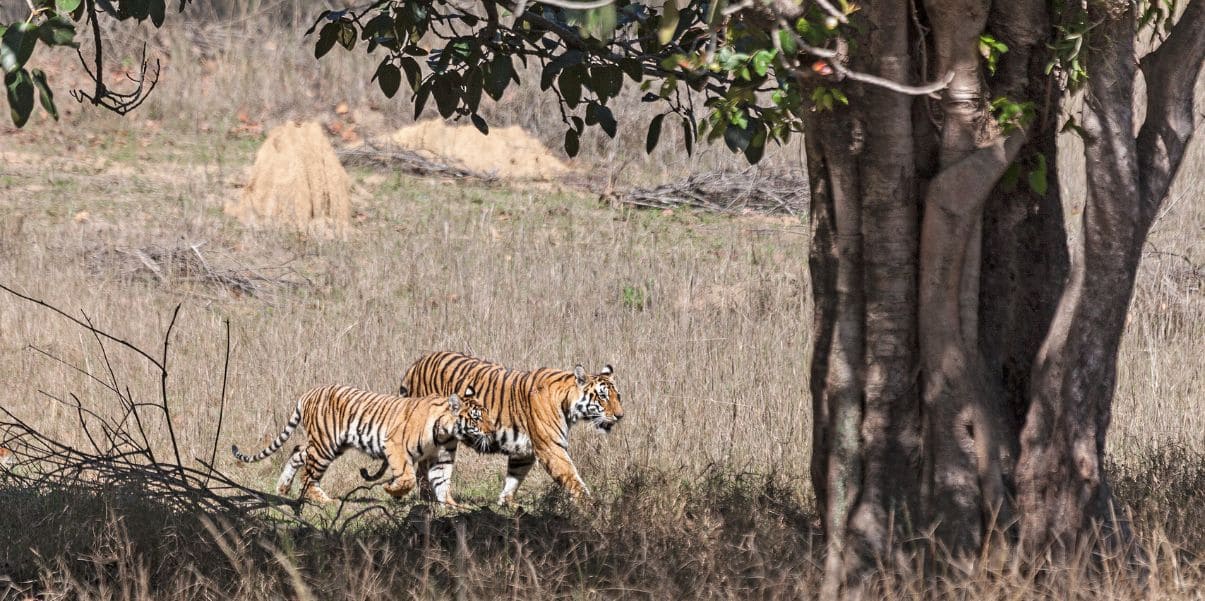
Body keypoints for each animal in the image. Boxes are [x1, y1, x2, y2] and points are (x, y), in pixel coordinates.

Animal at [227, 383, 491, 505]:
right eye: (477, 417)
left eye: (486, 415)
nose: (491, 430)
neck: (446, 432)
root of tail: (307, 394)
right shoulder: (394, 445)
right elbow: (407, 476)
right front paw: (393, 491)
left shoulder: (441, 457)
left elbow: (443, 481)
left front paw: (451, 505)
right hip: (325, 445)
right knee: (309, 475)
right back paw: (324, 500)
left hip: (329, 445)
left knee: (297, 452)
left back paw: (282, 488)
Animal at [400, 351, 626, 505]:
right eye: (603, 396)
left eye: (618, 396)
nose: (620, 415)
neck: (567, 402)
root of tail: (416, 364)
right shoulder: (551, 448)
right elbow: (573, 478)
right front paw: (592, 507)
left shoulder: (523, 450)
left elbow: (514, 476)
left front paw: (505, 501)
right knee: (428, 466)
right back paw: (433, 499)